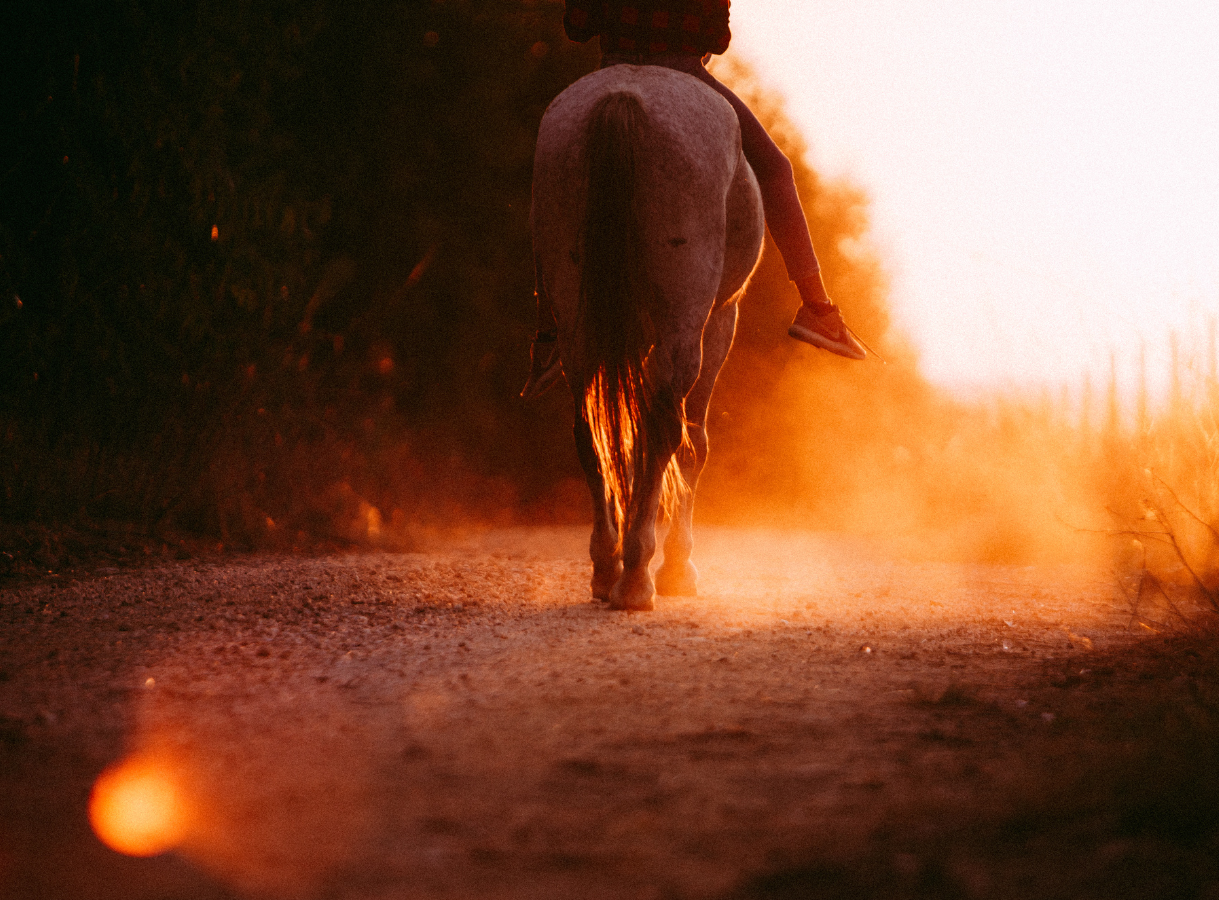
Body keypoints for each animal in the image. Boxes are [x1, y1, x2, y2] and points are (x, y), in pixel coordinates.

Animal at [532, 64, 764, 611]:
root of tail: (623, 98)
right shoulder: (720, 322)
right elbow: (694, 444)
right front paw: (680, 568)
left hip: (577, 321)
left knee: (588, 429)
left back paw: (606, 569)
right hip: (686, 321)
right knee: (665, 431)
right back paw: (638, 575)